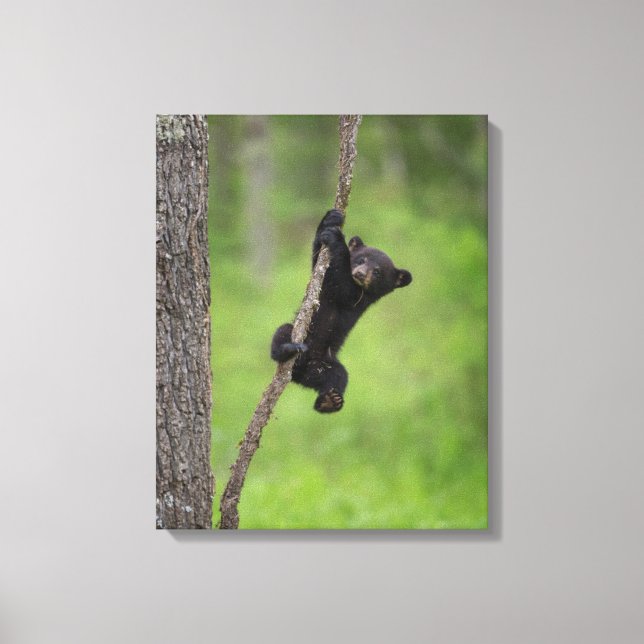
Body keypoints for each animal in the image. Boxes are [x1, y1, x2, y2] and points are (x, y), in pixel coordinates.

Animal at [271, 209, 412, 413]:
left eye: (377, 272)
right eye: (361, 259)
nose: (360, 273)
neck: (360, 286)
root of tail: (299, 374)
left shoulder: (359, 299)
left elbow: (343, 286)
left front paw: (338, 239)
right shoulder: (323, 281)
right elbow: (318, 260)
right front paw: (330, 219)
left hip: (327, 362)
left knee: (339, 376)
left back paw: (329, 401)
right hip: (300, 338)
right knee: (282, 332)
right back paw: (288, 348)